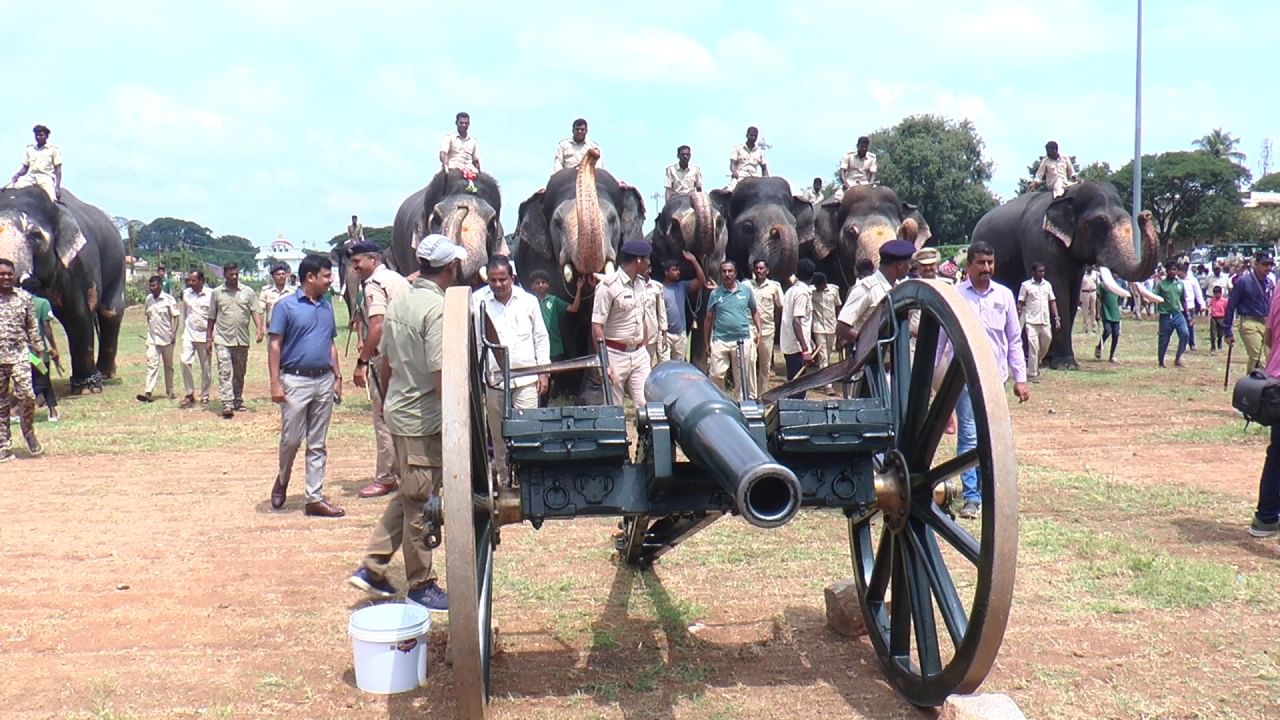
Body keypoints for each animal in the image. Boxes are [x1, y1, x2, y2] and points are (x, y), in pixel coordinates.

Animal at [0, 181, 124, 389]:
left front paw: (87, 388)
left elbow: (77, 313)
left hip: (118, 262)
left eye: (35, 236)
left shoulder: (78, 261)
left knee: (110, 311)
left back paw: (105, 375)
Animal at [967, 179, 1162, 368]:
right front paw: (1065, 364)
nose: (1145, 215)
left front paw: (1051, 360)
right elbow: (1057, 291)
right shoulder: (1040, 242)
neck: (1069, 195)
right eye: (1100, 223)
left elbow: (1072, 295)